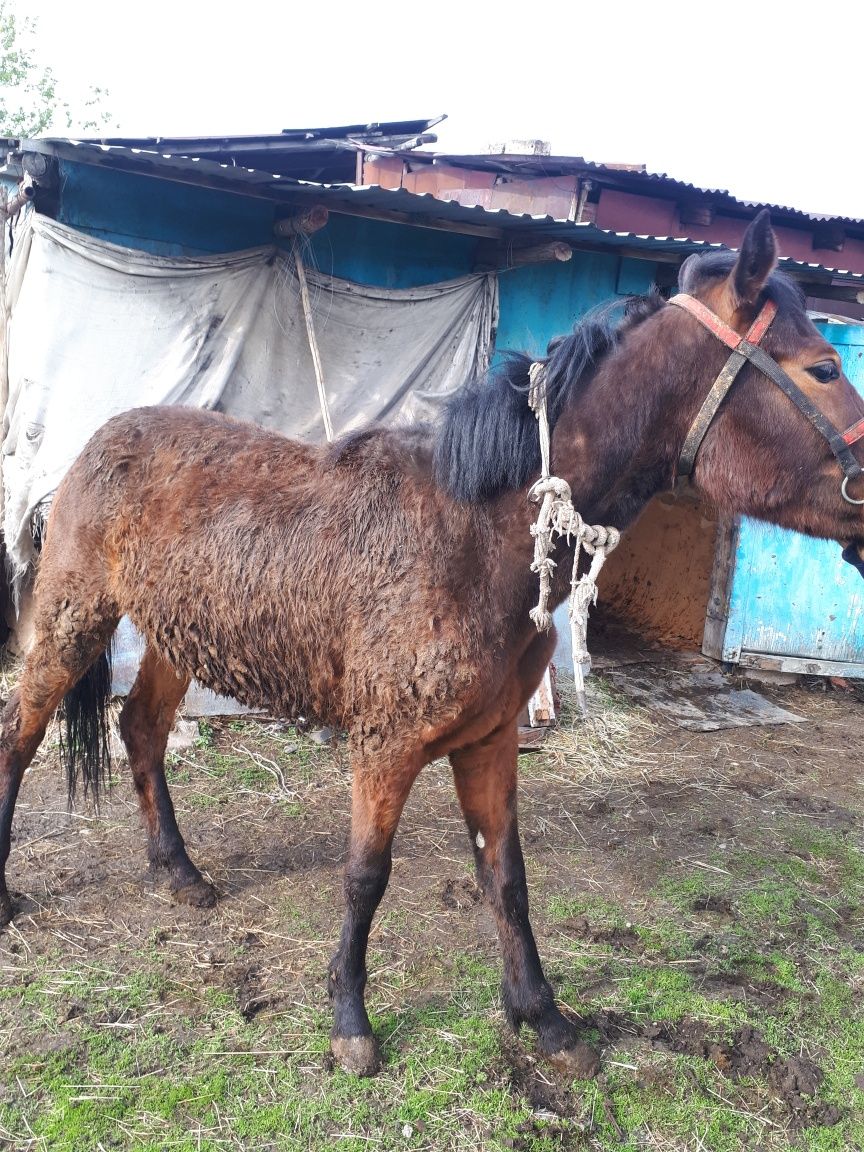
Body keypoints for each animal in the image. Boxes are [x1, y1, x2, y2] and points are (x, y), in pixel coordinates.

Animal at [1, 209, 864, 1078]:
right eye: (825, 367)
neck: (478, 534)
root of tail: (96, 444)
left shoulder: (489, 741)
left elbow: (506, 877)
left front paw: (544, 1017)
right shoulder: (385, 746)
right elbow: (364, 877)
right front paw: (350, 1022)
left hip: (177, 637)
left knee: (141, 728)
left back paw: (179, 871)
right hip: (75, 618)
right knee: (22, 733)